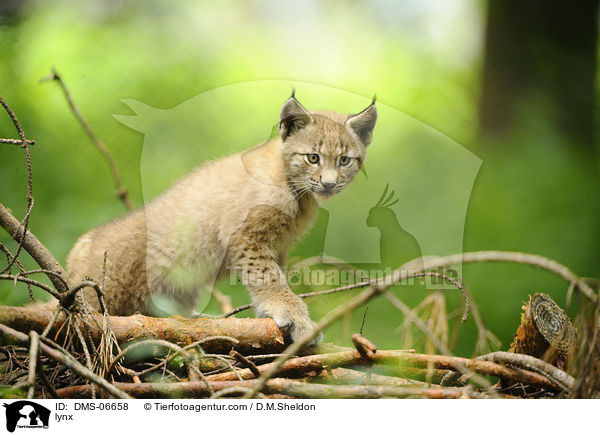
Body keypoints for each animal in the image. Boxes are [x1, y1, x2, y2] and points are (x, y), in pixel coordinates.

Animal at [65, 93, 376, 342]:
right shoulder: (246, 236)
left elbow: (275, 277)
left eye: (345, 161)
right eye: (313, 158)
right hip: (106, 289)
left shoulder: (278, 246)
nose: (329, 184)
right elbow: (269, 278)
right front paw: (294, 316)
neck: (297, 190)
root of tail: (79, 247)